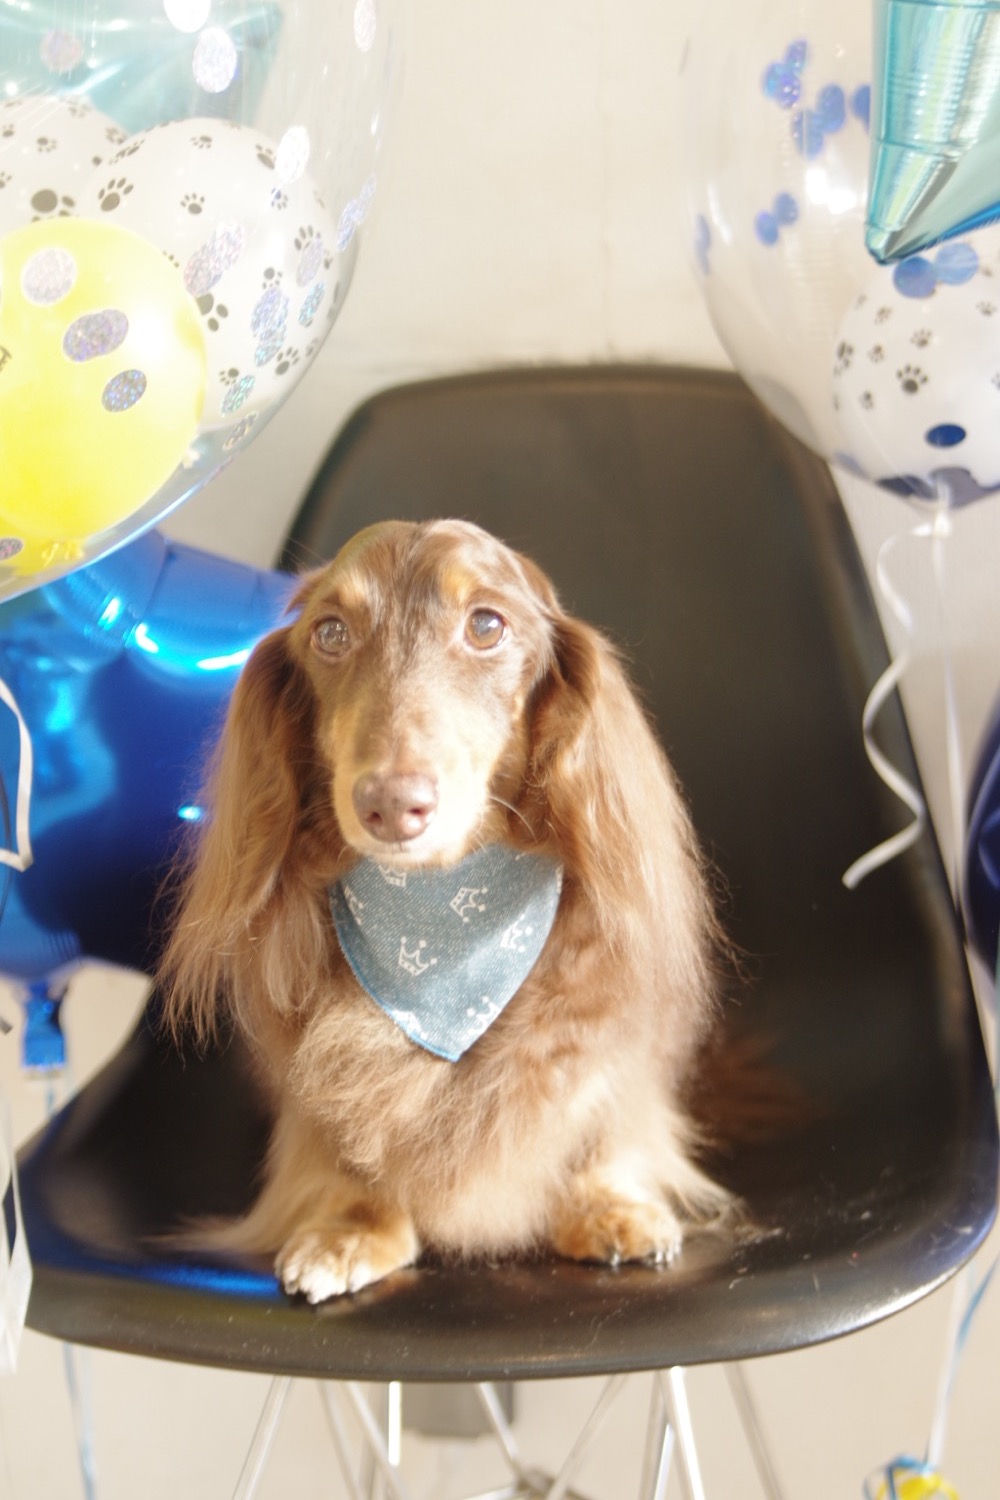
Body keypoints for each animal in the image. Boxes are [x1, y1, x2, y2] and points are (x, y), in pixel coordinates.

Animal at [160, 518, 735, 1302]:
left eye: (486, 625)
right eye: (330, 633)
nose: (390, 804)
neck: (438, 931)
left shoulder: (603, 1026)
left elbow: (599, 1114)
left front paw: (606, 1205)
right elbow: (348, 1139)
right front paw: (352, 1227)